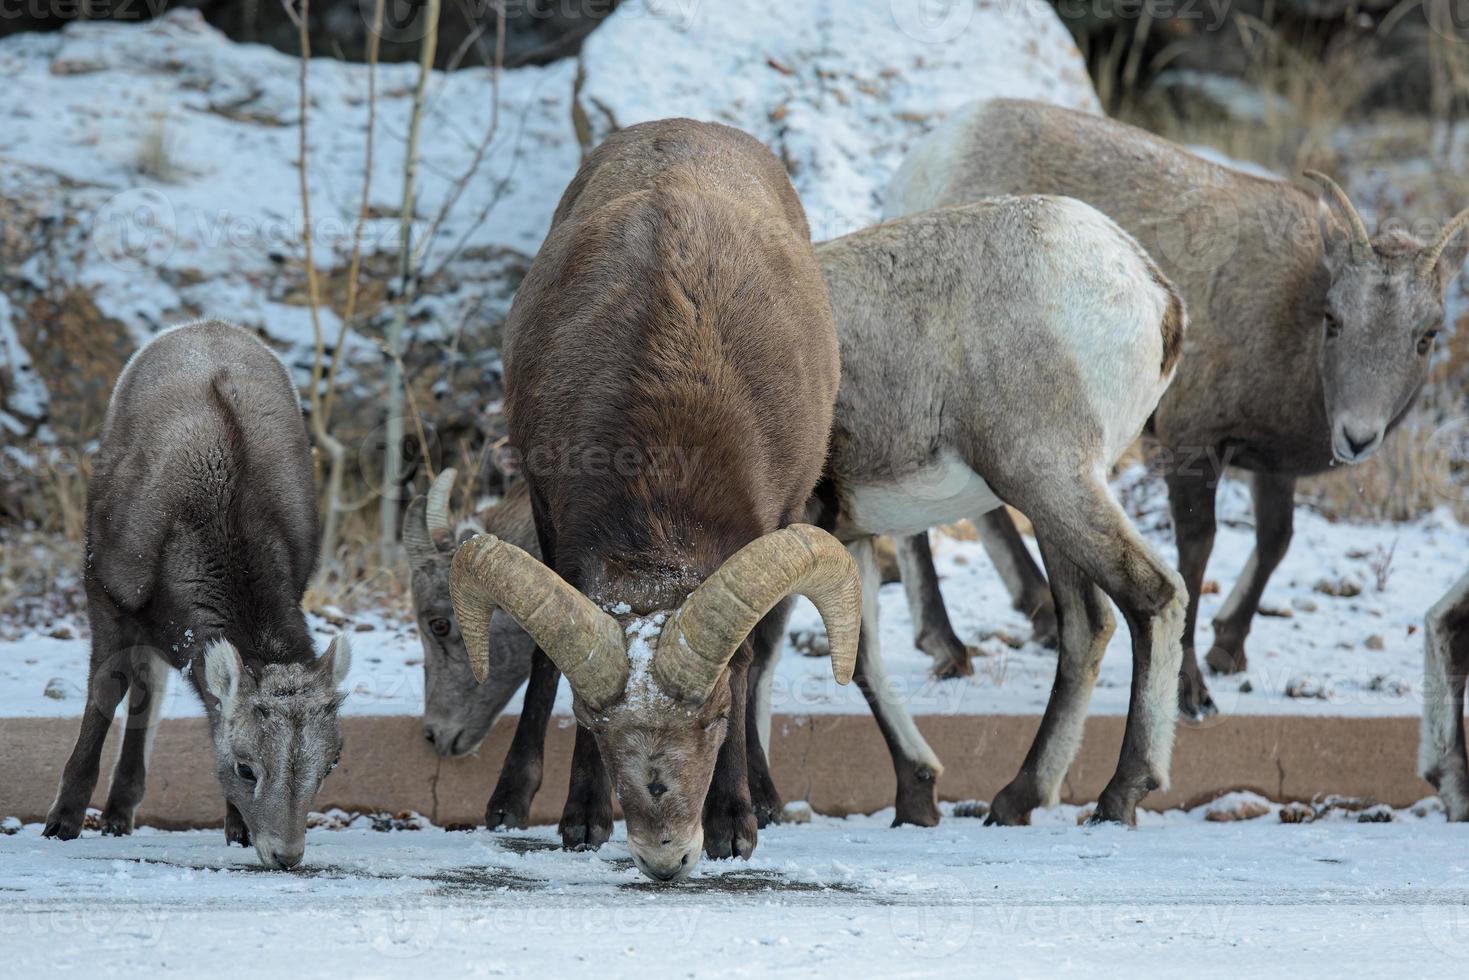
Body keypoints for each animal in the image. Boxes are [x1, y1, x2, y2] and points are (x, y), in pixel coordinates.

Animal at [44, 321, 351, 875]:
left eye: (330, 765)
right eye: (246, 768)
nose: (286, 854)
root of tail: (204, 324)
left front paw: (235, 827)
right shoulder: (106, 591)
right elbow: (106, 694)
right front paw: (63, 820)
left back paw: (122, 811)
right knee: (143, 682)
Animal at [446, 119, 857, 887]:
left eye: (715, 718)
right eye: (595, 725)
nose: (664, 856)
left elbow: (750, 658)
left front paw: (734, 827)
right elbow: (548, 663)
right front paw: (577, 820)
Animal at [746, 196, 1192, 828]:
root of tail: (1152, 290)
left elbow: (757, 658)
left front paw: (760, 807)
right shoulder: (848, 535)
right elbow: (860, 658)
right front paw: (916, 796)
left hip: (1051, 481)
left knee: (1152, 596)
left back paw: (1119, 795)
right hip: (1057, 503)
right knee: (1087, 626)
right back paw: (1018, 797)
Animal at [881, 99, 1469, 719]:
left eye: (1427, 335)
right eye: (1334, 319)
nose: (1356, 436)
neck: (1291, 321)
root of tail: (931, 156)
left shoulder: (1271, 468)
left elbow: (1275, 540)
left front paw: (1228, 651)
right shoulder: (1192, 446)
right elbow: (1196, 553)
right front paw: (1192, 691)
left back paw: (1036, 616)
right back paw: (948, 646)